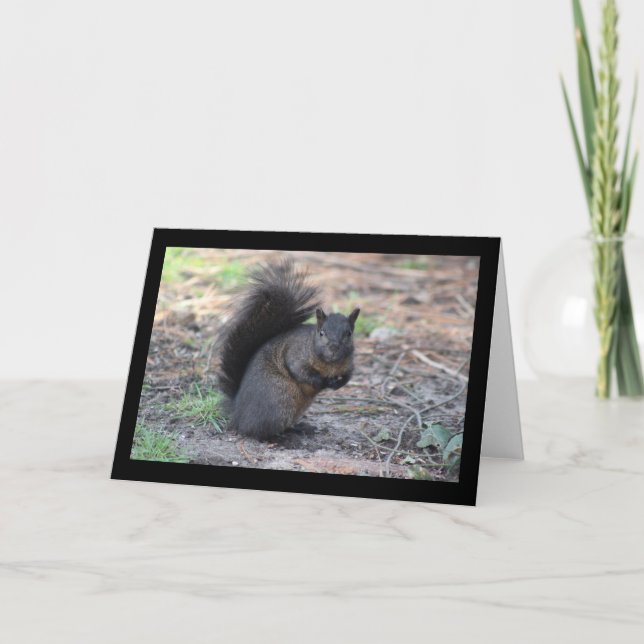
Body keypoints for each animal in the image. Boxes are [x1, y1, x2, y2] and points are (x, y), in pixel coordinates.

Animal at [217, 259, 360, 440]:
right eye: (321, 332)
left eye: (349, 333)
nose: (334, 347)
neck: (330, 364)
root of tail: (238, 415)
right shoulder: (295, 354)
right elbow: (300, 371)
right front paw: (321, 381)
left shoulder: (349, 364)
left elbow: (348, 377)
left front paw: (337, 384)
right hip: (279, 401)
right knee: (256, 432)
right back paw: (279, 438)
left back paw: (299, 428)